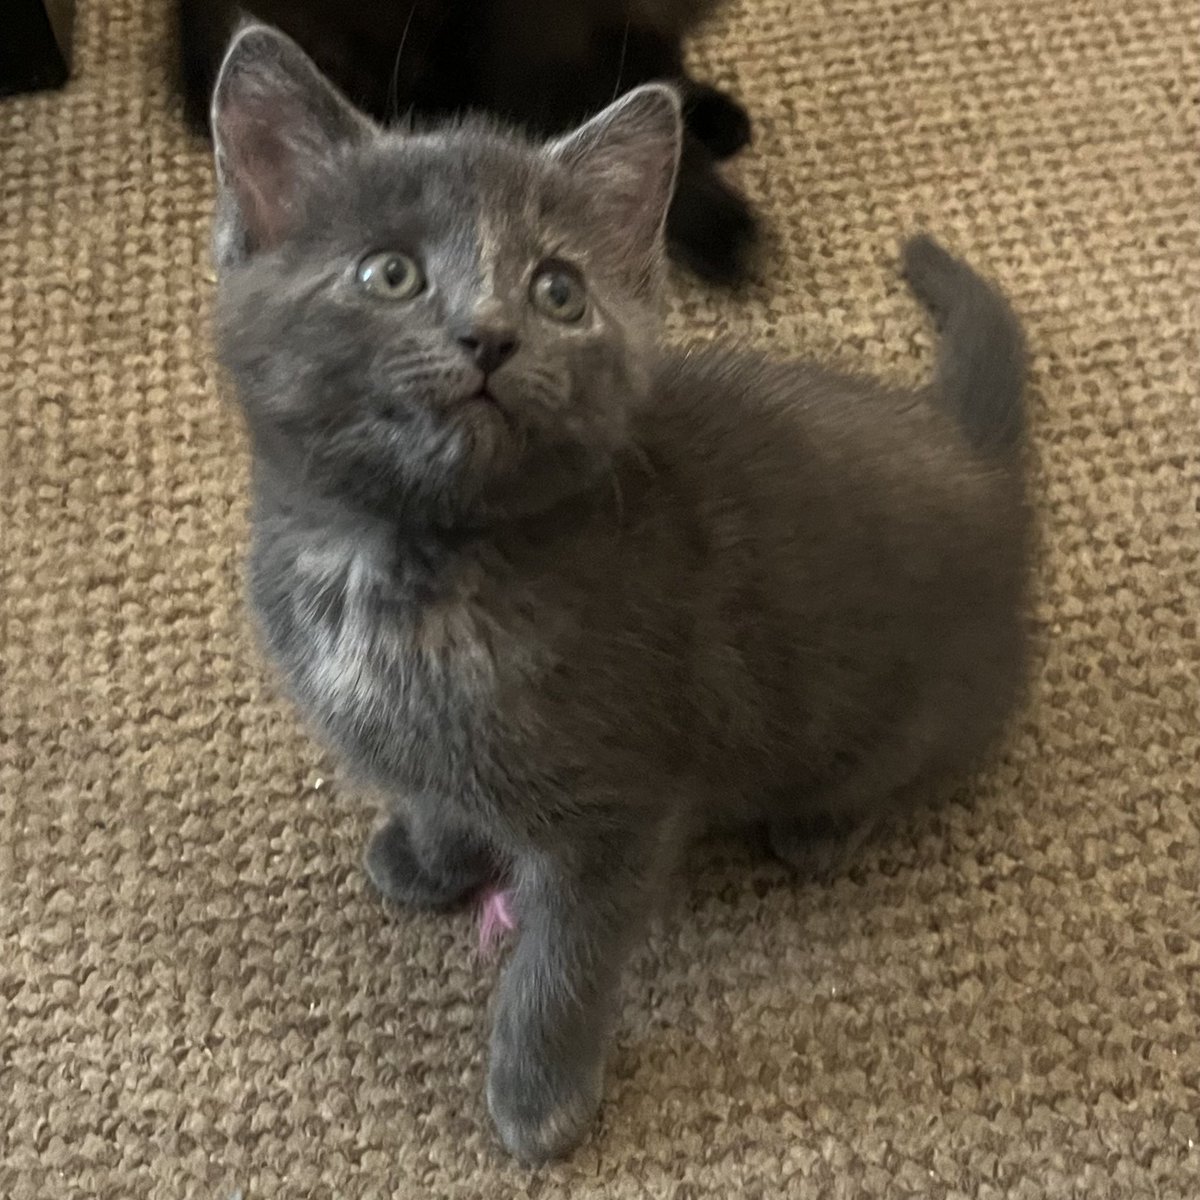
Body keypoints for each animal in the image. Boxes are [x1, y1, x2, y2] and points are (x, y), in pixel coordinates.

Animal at [206, 21, 1032, 1161]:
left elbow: (564, 967)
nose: (489, 334)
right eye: (390, 272)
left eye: (559, 291)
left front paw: (539, 1098)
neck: (403, 565)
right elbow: (436, 786)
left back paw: (822, 828)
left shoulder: (618, 815)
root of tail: (970, 454)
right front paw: (429, 854)